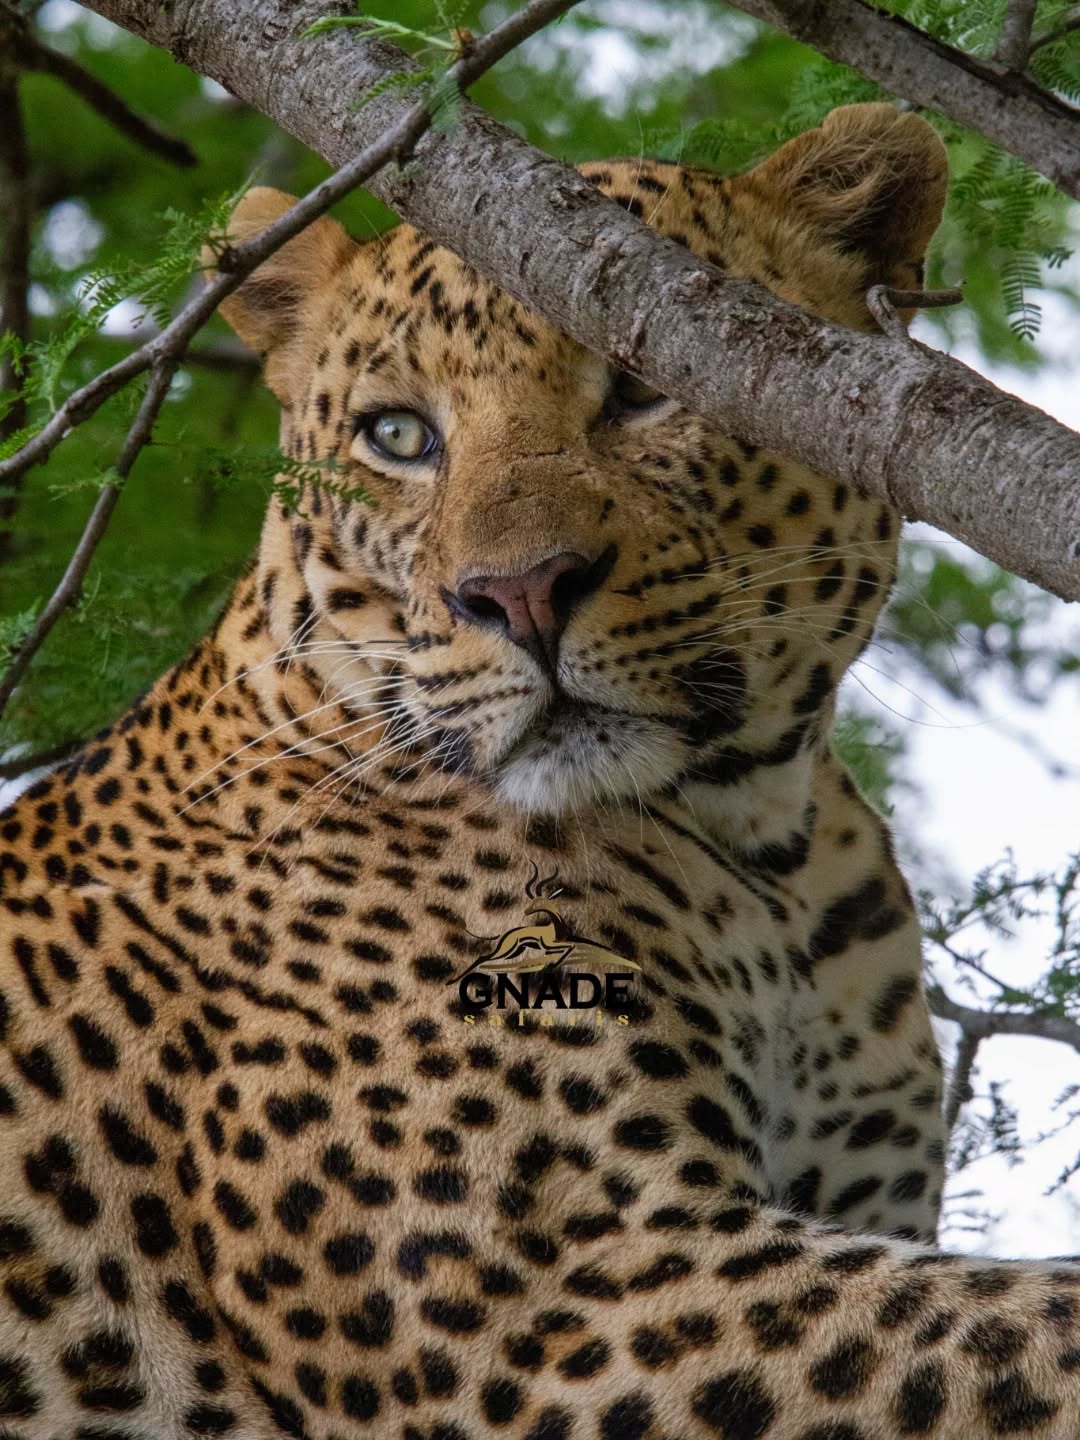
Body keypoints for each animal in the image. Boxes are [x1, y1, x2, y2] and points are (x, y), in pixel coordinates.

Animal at [1, 101, 1078, 1440]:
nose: (519, 594)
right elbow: (1016, 1333)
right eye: (398, 436)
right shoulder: (544, 1305)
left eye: (646, 390)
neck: (763, 837)